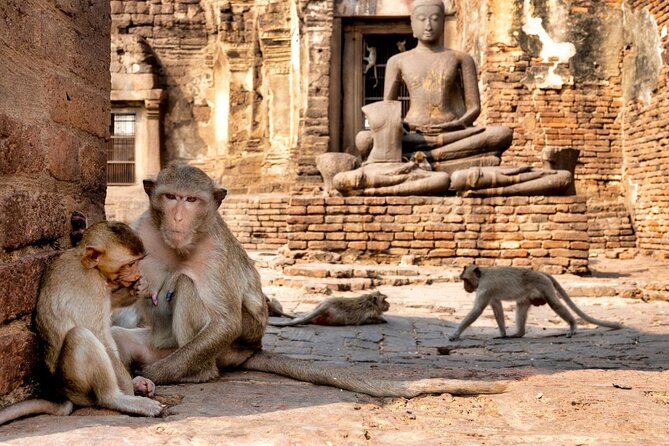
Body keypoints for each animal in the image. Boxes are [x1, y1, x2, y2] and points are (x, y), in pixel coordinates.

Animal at [0, 222, 163, 425]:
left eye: (138, 262)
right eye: (130, 264)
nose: (137, 274)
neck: (86, 263)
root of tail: (65, 393)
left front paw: (138, 288)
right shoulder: (91, 285)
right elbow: (98, 333)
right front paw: (129, 389)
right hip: (76, 384)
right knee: (81, 335)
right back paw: (117, 398)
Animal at [110, 163, 505, 397]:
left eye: (192, 200)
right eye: (170, 197)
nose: (178, 217)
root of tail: (253, 350)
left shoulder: (215, 250)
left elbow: (224, 321)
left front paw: (154, 374)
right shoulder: (142, 228)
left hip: (226, 349)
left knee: (190, 291)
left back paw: (193, 373)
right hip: (159, 341)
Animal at [449, 265, 624, 341]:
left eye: (465, 280)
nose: (465, 287)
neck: (483, 274)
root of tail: (540, 272)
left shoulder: (485, 287)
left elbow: (478, 310)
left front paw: (455, 334)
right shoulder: (489, 292)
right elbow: (496, 306)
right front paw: (502, 334)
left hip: (544, 286)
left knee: (555, 304)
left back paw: (573, 326)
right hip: (531, 294)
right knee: (521, 306)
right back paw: (518, 333)